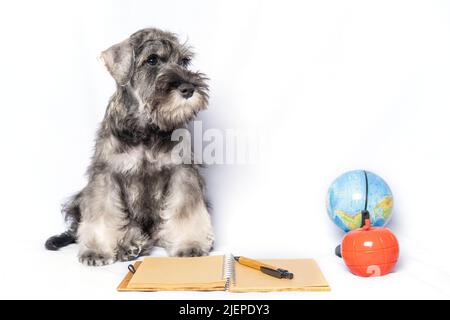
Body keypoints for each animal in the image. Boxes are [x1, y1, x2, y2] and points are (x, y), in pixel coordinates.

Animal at [44, 28, 214, 266]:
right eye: (152, 60)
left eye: (184, 61)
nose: (188, 88)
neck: (145, 128)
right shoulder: (105, 176)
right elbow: (102, 213)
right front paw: (96, 250)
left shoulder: (182, 173)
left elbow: (185, 211)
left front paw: (190, 244)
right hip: (80, 197)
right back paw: (130, 243)